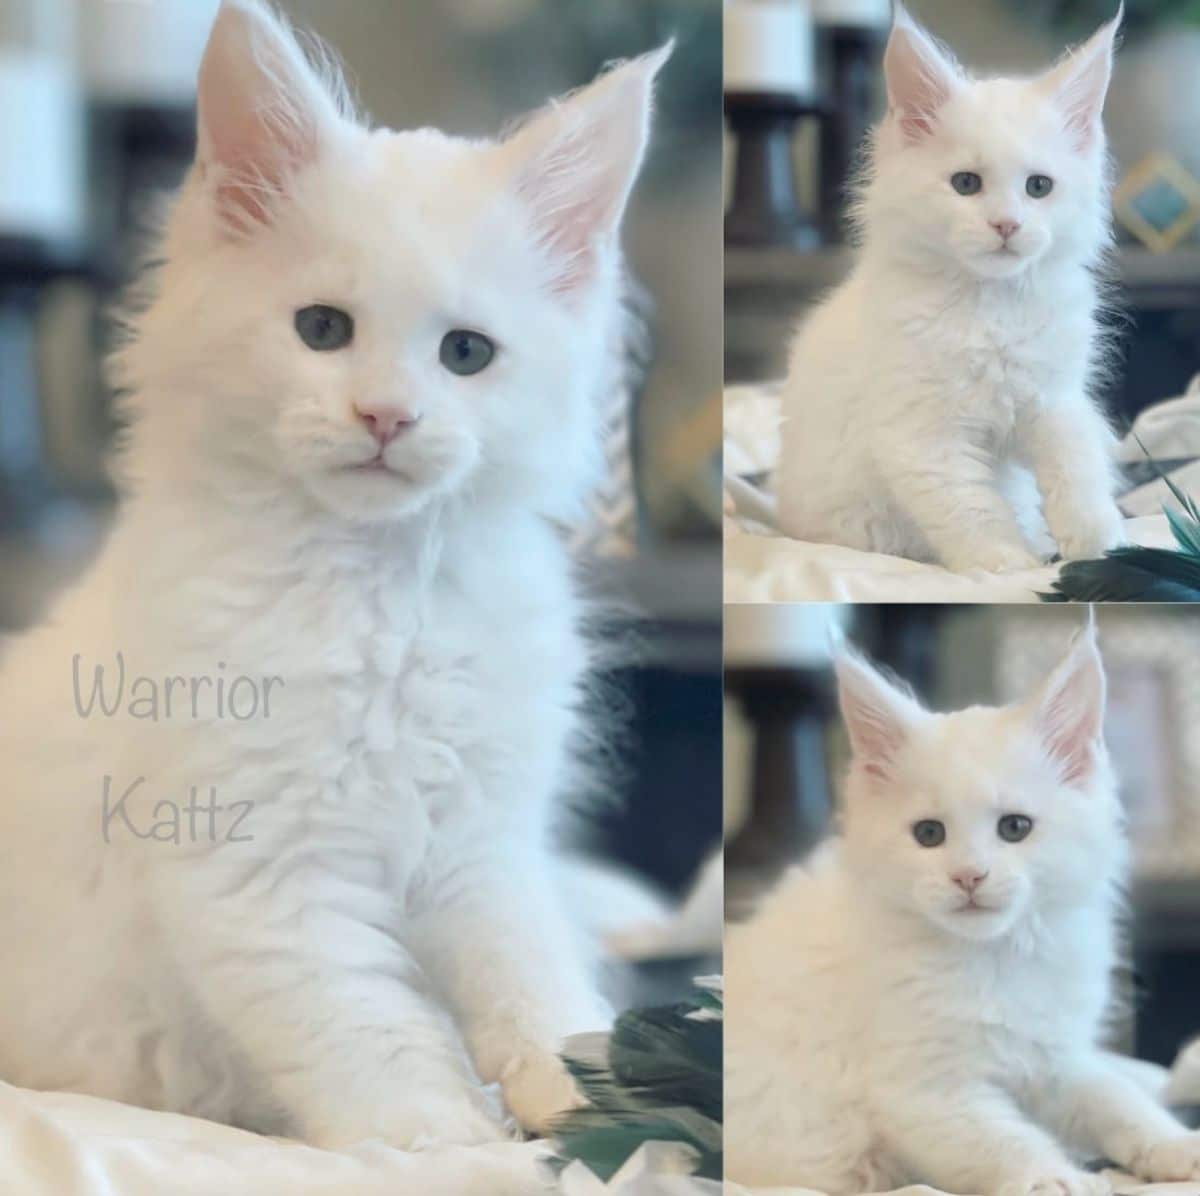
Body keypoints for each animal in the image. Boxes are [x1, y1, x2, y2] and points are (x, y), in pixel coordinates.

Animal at [0, 0, 667, 1161]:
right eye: (323, 330)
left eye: (465, 353)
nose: (385, 415)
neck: (380, 595)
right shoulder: (263, 873)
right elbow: (370, 1027)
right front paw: (443, 1137)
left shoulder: (485, 843)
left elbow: (530, 980)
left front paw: (584, 1094)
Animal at [715, 623, 1200, 1194]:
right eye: (929, 834)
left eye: (1015, 827)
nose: (968, 875)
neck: (995, 958)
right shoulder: (928, 1094)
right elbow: (1006, 1141)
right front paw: (1055, 1178)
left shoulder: (1055, 1057)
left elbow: (1121, 1101)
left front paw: (1177, 1147)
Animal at [777, 4, 1123, 573]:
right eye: (966, 184)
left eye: (1039, 187)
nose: (1006, 224)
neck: (991, 306)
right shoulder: (925, 435)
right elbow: (973, 509)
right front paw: (1009, 565)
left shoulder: (1052, 398)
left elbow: (1078, 461)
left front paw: (1098, 541)